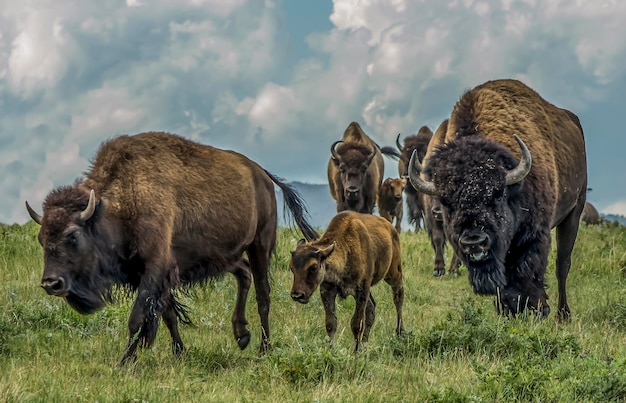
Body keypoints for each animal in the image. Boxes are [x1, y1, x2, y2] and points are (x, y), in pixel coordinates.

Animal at [23, 133, 316, 366]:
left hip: (259, 245)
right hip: (223, 255)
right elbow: (168, 315)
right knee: (243, 274)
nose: (51, 283)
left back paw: (264, 348)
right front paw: (179, 353)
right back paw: (241, 335)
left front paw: (125, 361)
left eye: (73, 235)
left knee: (263, 294)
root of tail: (262, 174)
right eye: (41, 238)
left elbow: (138, 318)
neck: (122, 201)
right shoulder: (153, 274)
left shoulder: (154, 270)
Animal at [288, 211, 404, 354]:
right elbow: (331, 323)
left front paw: (355, 352)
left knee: (398, 297)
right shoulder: (327, 290)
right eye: (291, 267)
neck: (346, 249)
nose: (297, 295)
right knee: (371, 309)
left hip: (393, 273)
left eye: (313, 267)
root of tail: (391, 228)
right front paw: (331, 350)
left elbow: (356, 324)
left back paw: (400, 333)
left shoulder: (361, 291)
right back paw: (365, 345)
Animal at [410, 78, 584, 318]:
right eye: (447, 202)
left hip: (574, 211)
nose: (474, 242)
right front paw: (507, 309)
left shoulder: (535, 232)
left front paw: (537, 309)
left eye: (498, 194)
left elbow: (528, 268)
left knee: (562, 265)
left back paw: (562, 315)